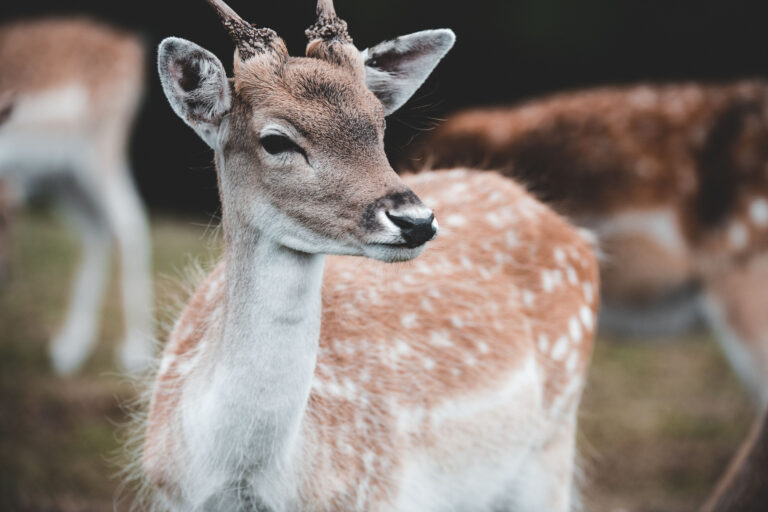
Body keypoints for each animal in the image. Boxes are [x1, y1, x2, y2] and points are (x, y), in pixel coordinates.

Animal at [0, 18, 154, 374]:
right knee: (97, 231)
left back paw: (136, 353)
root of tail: (130, 47)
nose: (4, 276)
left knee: (129, 222)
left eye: (9, 216)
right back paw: (70, 349)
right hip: (65, 176)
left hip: (98, 153)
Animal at [138, 1, 604, 512]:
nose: (416, 221)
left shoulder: (381, 494)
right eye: (276, 140)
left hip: (551, 447)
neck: (243, 481)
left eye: (378, 125)